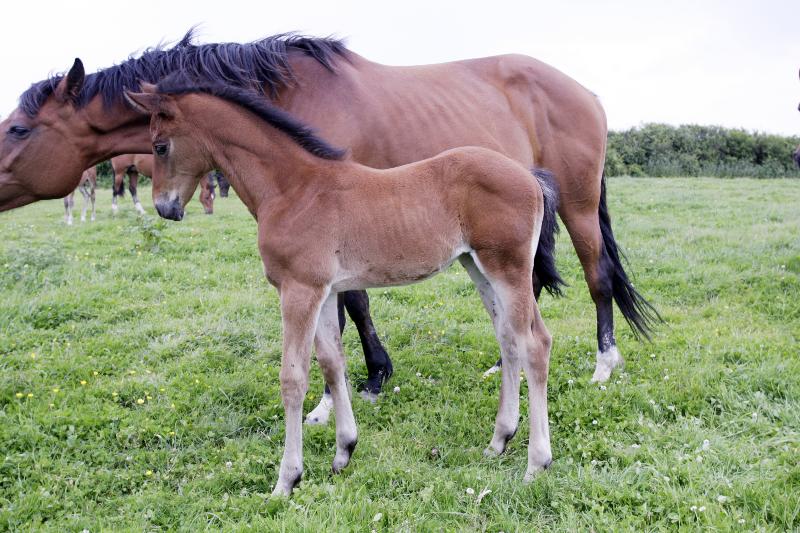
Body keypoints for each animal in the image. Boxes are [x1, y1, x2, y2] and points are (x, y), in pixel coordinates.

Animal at [126, 79, 564, 494]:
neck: (292, 189)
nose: (165, 207)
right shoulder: (325, 291)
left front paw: (286, 481)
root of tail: (529, 175)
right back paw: (499, 441)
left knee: (534, 344)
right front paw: (343, 451)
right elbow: (332, 364)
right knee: (508, 339)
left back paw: (536, 463)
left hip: (508, 268)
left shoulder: (298, 289)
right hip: (477, 266)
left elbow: (293, 378)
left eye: (159, 146)